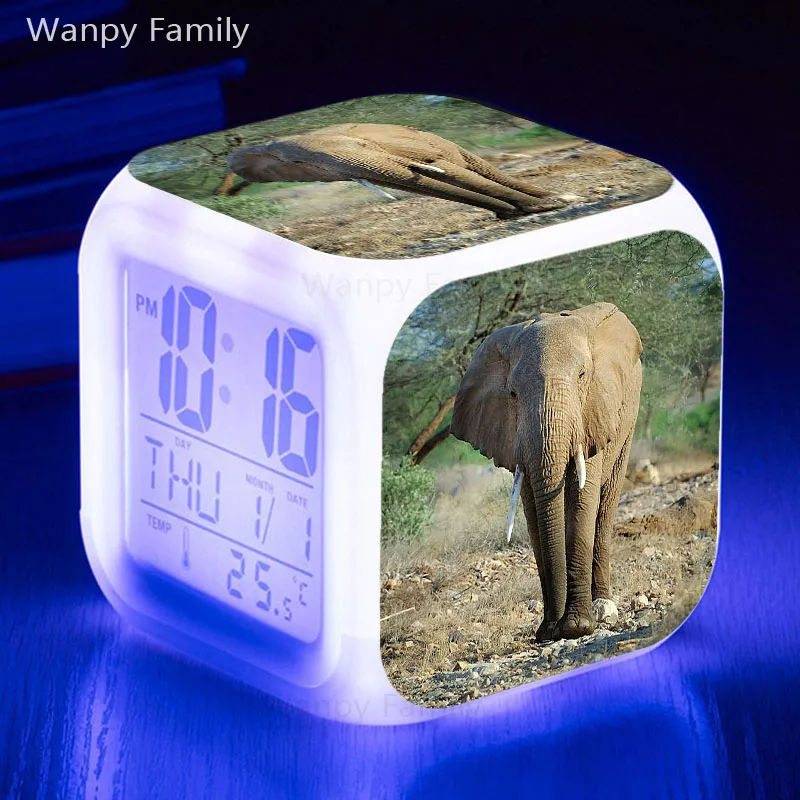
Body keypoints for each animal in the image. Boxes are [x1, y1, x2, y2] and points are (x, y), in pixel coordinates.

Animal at [227, 123, 568, 219]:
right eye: (298, 164)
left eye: (361, 144)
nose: (505, 214)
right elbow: (419, 184)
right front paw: (510, 213)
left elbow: (447, 173)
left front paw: (541, 208)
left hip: (441, 142)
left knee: (475, 168)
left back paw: (557, 199)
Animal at [450, 302, 642, 642]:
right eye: (513, 394)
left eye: (582, 376)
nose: (555, 628)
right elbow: (533, 514)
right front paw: (549, 631)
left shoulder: (593, 412)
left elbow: (582, 501)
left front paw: (577, 628)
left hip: (627, 418)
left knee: (605, 506)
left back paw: (603, 605)